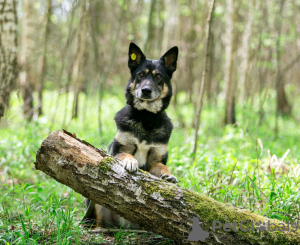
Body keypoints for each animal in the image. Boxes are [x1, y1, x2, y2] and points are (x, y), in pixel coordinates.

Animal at [82, 42, 178, 228]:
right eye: (140, 75)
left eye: (158, 77)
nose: (146, 91)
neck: (146, 118)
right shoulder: (117, 150)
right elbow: (127, 154)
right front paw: (131, 162)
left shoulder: (155, 161)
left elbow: (162, 167)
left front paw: (168, 176)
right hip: (97, 202)